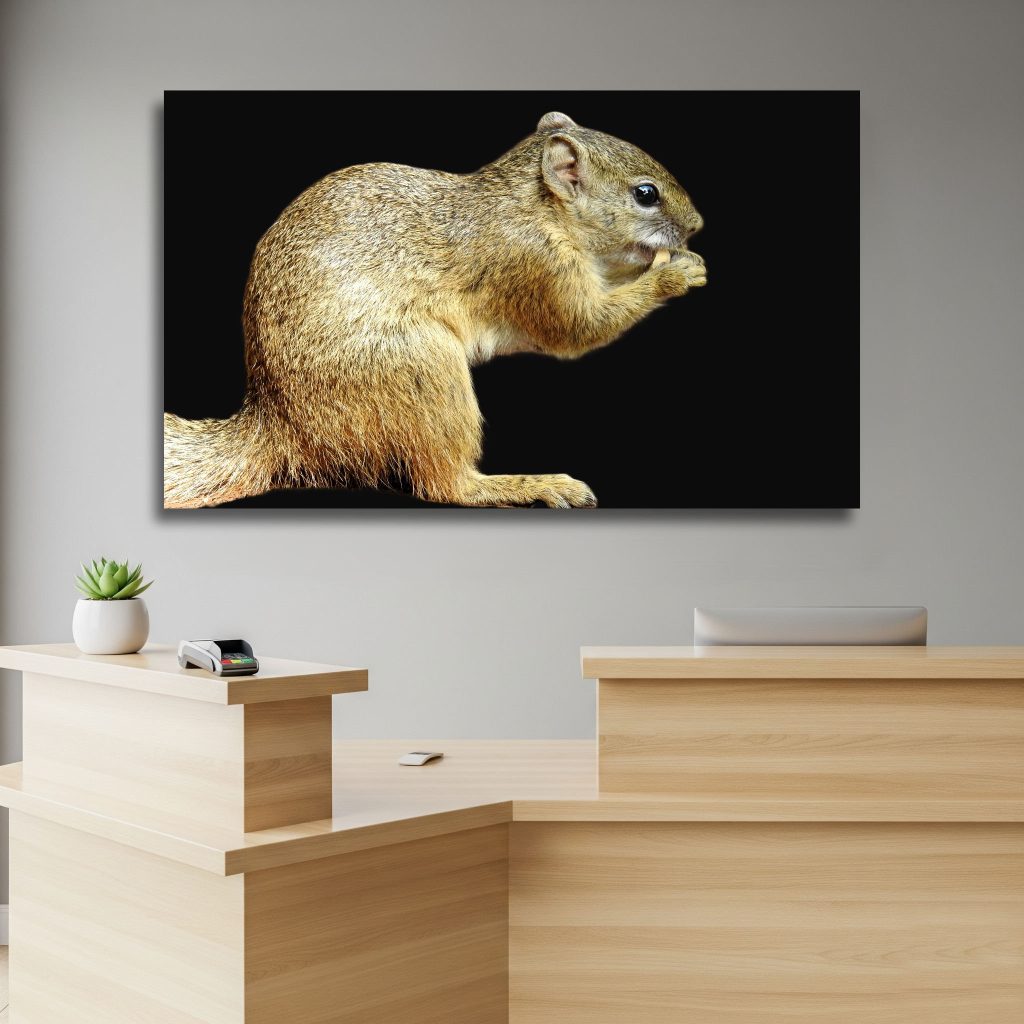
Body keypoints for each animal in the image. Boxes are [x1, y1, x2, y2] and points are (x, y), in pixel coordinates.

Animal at [164, 111, 706, 508]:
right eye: (645, 194)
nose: (697, 225)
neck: (536, 207)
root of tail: (281, 423)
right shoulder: (533, 265)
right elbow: (578, 329)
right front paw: (673, 273)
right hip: (419, 366)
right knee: (446, 485)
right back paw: (528, 484)